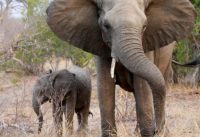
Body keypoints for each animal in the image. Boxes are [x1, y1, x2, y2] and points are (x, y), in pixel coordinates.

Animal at [46, 0, 196, 136]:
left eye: (145, 26)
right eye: (106, 25)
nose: (156, 130)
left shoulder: (147, 42)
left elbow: (143, 88)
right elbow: (105, 87)